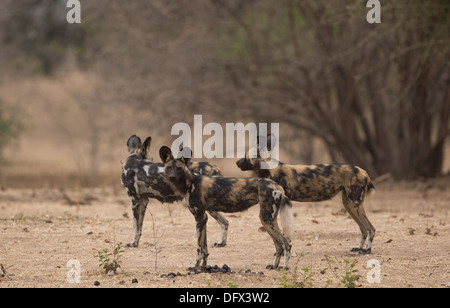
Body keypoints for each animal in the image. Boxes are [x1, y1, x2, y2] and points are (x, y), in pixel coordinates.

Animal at [160, 146, 294, 270]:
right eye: (169, 168)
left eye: (179, 168)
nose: (171, 177)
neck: (191, 182)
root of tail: (278, 187)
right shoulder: (203, 218)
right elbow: (205, 248)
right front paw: (204, 266)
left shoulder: (199, 218)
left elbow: (199, 248)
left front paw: (195, 266)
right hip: (266, 220)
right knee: (278, 245)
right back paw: (274, 266)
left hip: (267, 219)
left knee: (286, 244)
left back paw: (284, 267)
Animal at [237, 134, 378, 253]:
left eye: (245, 157)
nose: (237, 162)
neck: (269, 169)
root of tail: (362, 170)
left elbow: (284, 232)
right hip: (348, 204)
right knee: (363, 229)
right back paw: (359, 248)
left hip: (354, 204)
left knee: (370, 228)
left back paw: (367, 250)